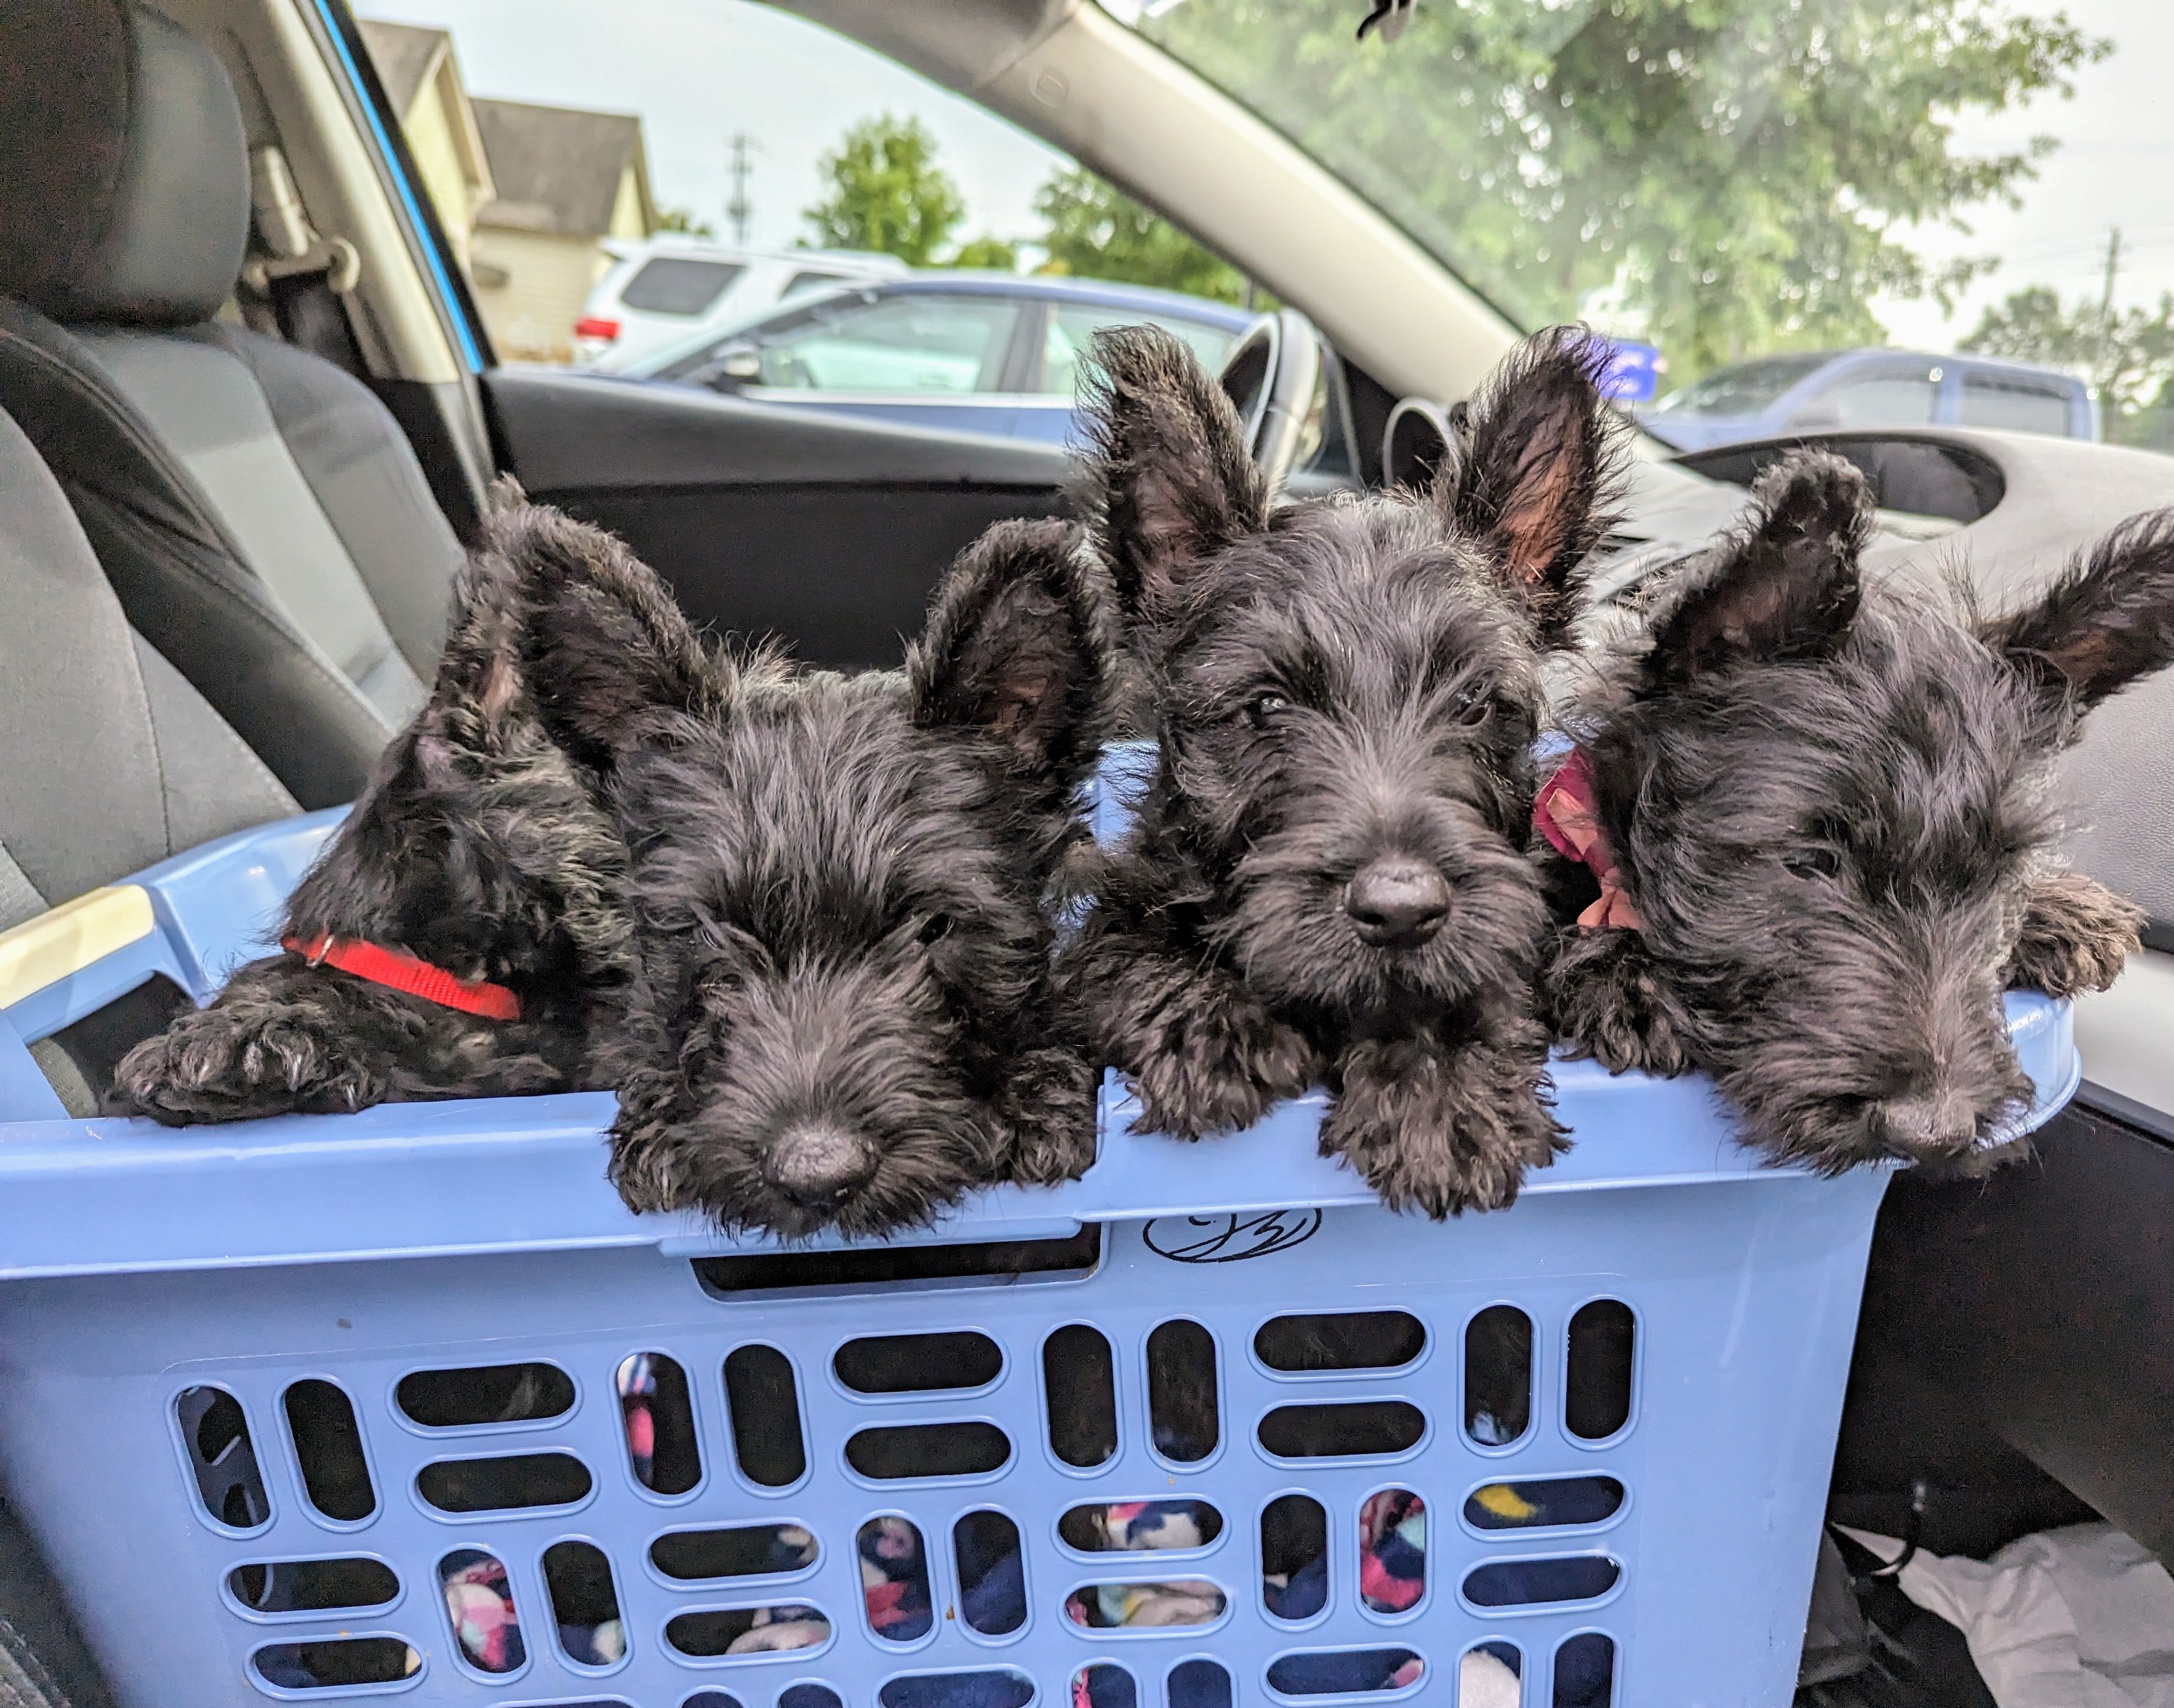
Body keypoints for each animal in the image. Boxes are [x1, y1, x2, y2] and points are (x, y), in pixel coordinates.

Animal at [1069, 323, 1635, 1208]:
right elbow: (1121, 941)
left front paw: (1442, 1084)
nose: (1401, 911)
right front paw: (1206, 1017)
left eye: (1473, 700)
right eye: (1267, 705)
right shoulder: (1122, 889)